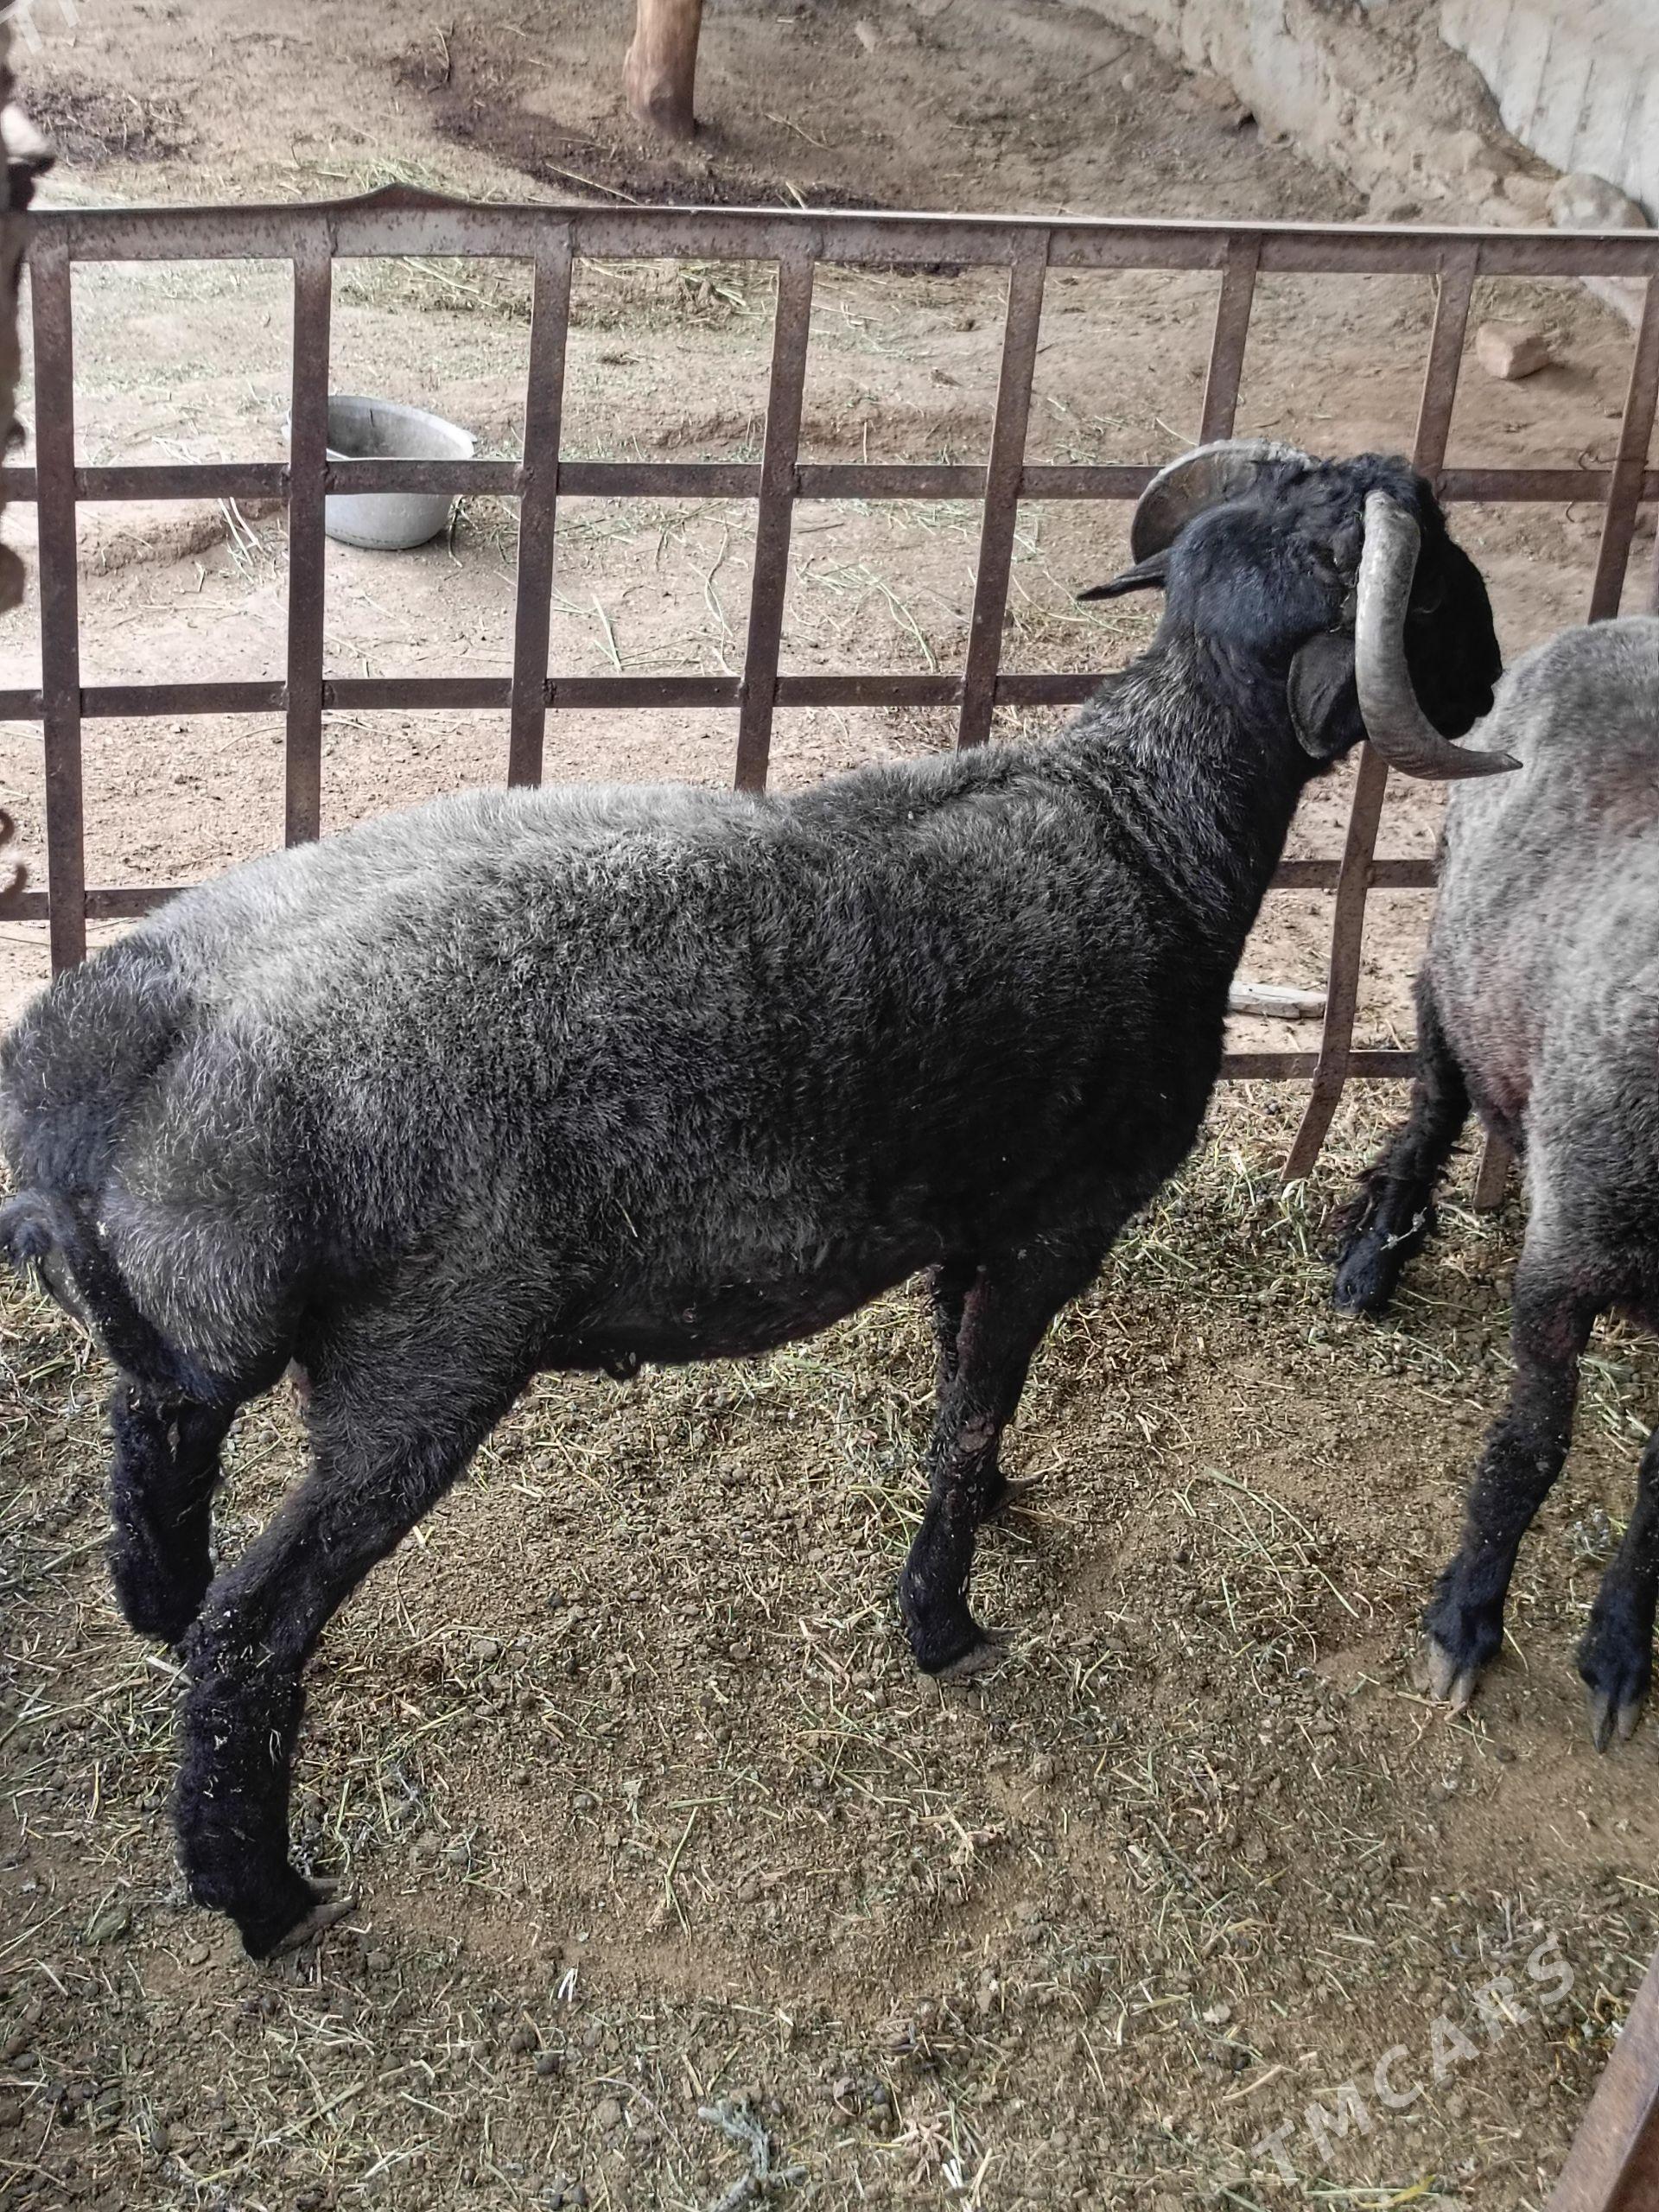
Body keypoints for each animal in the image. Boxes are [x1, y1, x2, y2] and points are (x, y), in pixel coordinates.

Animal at [0, 441, 1508, 1955]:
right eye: (1439, 584)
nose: (1498, 681)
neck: (1142, 823)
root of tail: (115, 1044)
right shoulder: (1062, 1218)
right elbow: (975, 1407)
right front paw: (944, 1627)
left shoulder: (976, 1217)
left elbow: (969, 1392)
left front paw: (996, 1508)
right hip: (419, 1356)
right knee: (253, 1635)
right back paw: (262, 1895)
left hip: (206, 1322)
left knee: (154, 1450)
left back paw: (160, 1615)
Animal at [1333, 614, 1659, 1750]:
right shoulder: (1563, 1262)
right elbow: (1532, 1444)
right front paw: (1465, 1620)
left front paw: (1621, 1652)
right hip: (1452, 952)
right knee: (1437, 1100)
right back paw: (1370, 1266)